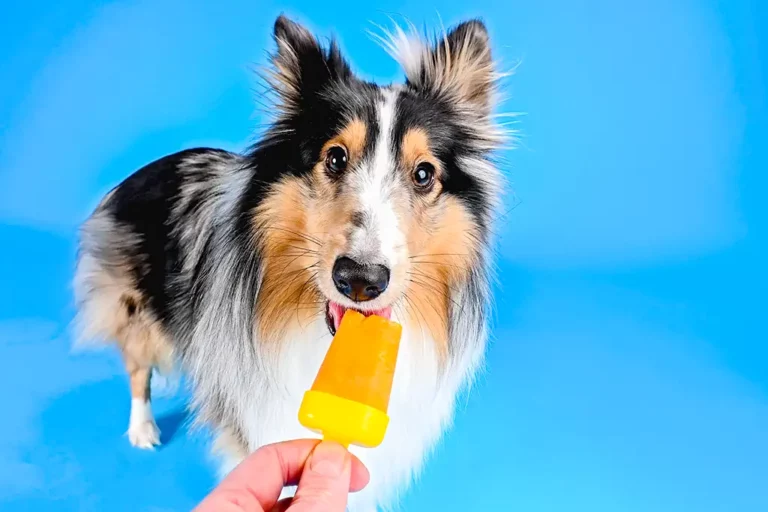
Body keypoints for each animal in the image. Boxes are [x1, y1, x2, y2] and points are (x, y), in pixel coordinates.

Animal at [70, 15, 504, 512]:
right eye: (335, 157)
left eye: (424, 174)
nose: (360, 280)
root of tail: (142, 169)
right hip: (137, 313)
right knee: (137, 369)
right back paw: (143, 429)